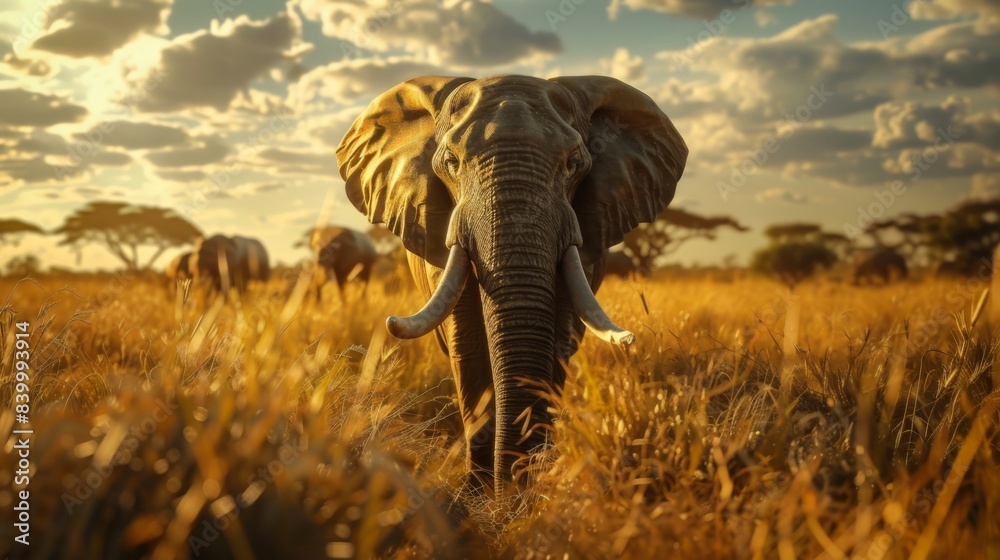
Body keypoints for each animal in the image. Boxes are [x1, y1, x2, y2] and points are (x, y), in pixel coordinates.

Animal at [337, 75, 687, 494]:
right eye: (452, 163)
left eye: (573, 164)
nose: (514, 485)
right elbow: (468, 345)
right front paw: (479, 492)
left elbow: (558, 339)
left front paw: (529, 489)